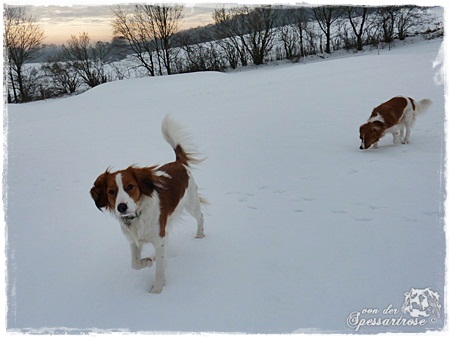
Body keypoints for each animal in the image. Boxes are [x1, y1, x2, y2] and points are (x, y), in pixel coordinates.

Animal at [90, 115, 206, 294]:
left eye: (130, 186)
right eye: (111, 191)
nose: (121, 207)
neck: (137, 215)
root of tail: (178, 163)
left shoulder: (159, 237)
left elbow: (158, 270)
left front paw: (156, 291)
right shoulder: (134, 241)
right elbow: (135, 264)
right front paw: (147, 261)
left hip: (191, 202)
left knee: (200, 216)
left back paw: (200, 234)